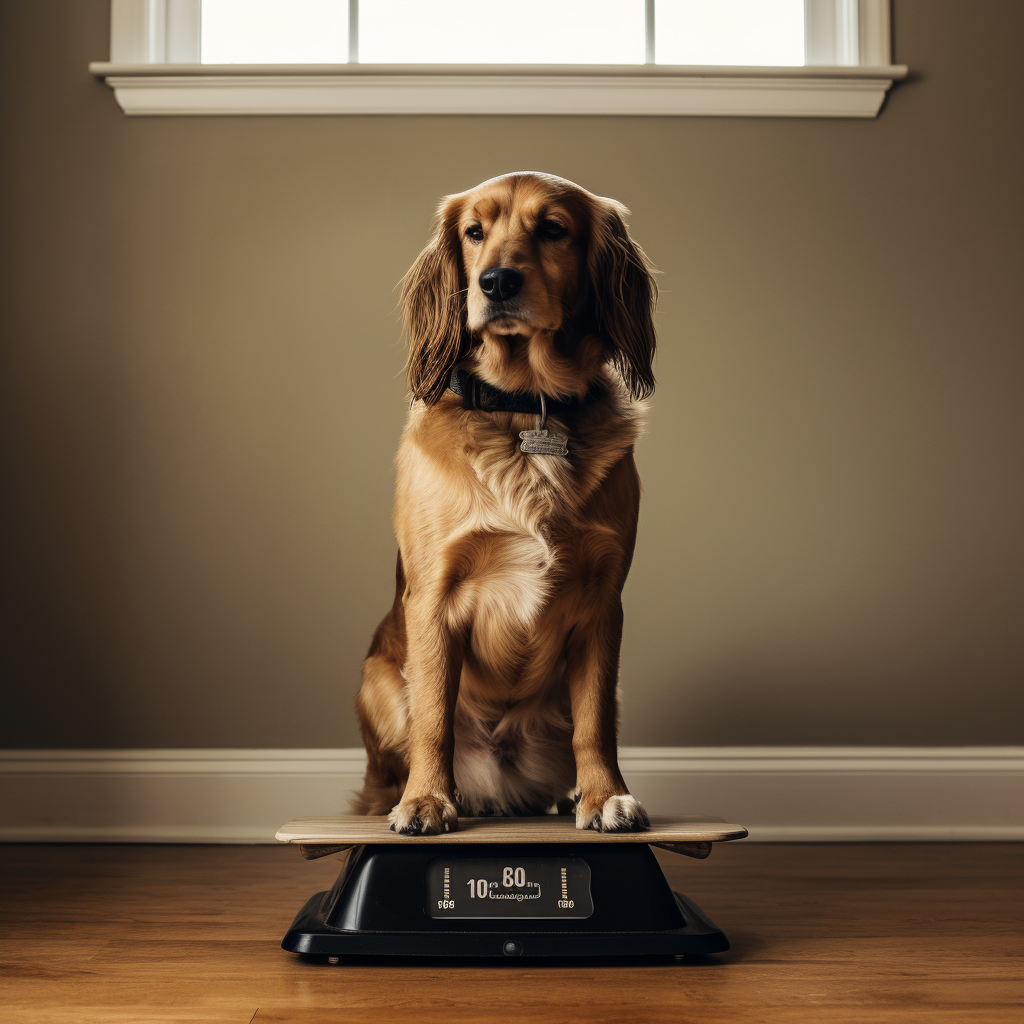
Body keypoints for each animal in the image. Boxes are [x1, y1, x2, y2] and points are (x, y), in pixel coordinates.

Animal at [354, 172, 655, 835]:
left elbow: (594, 721)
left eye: (553, 229)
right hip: (376, 681)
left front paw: (605, 795)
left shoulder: (604, 602)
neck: (526, 404)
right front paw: (426, 800)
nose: (496, 282)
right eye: (474, 232)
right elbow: (433, 718)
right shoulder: (433, 598)